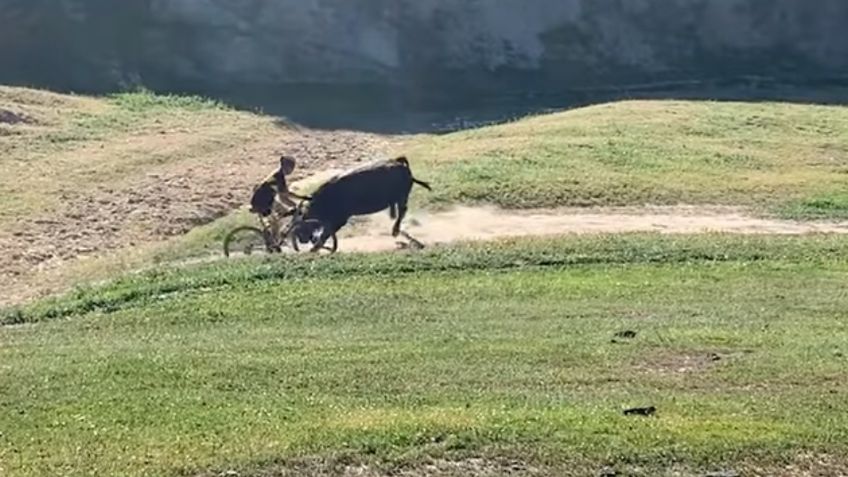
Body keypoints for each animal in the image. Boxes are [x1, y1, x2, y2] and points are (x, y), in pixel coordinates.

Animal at [300, 157, 430, 249]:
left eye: (307, 217)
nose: (302, 239)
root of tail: (402, 166)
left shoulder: (341, 218)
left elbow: (327, 231)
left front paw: (315, 248)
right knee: (399, 211)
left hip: (402, 197)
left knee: (402, 211)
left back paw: (395, 231)